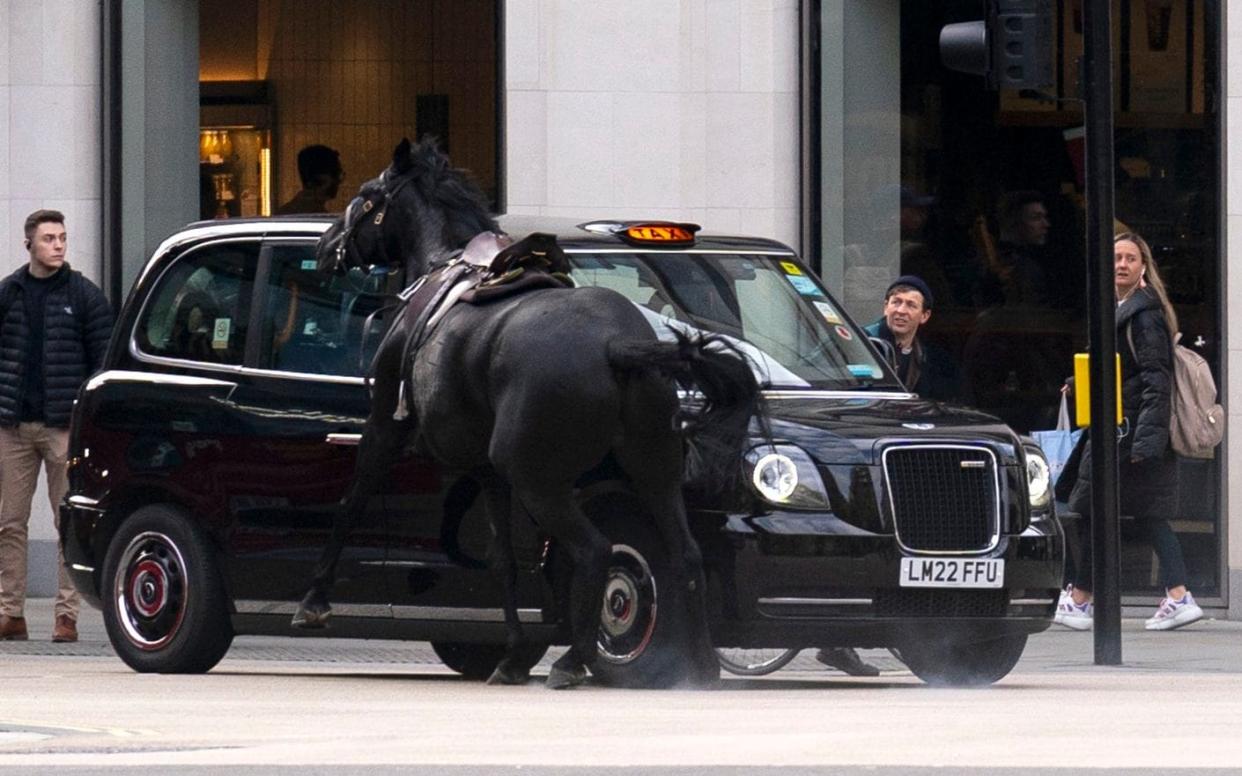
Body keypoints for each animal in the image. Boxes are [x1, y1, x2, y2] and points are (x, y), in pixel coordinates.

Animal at [295, 137, 760, 685]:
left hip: (540, 481)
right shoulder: (486, 468)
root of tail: (616, 346)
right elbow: (503, 559)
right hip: (654, 471)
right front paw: (513, 653)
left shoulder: (386, 426)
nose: (324, 247)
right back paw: (700, 665)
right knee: (685, 554)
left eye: (367, 196)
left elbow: (351, 503)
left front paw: (313, 600)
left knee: (596, 551)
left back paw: (575, 659)